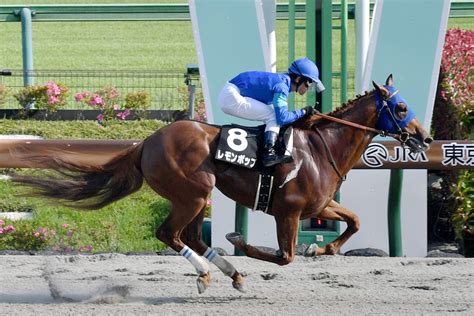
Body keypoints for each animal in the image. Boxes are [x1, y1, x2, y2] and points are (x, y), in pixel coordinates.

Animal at [11, 74, 434, 294]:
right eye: (400, 108)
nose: (425, 137)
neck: (321, 147)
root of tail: (147, 141)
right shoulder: (289, 211)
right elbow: (284, 256)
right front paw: (243, 241)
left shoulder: (319, 205)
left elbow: (356, 221)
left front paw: (325, 248)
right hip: (193, 193)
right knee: (169, 233)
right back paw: (211, 272)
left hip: (196, 197)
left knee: (189, 237)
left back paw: (226, 272)